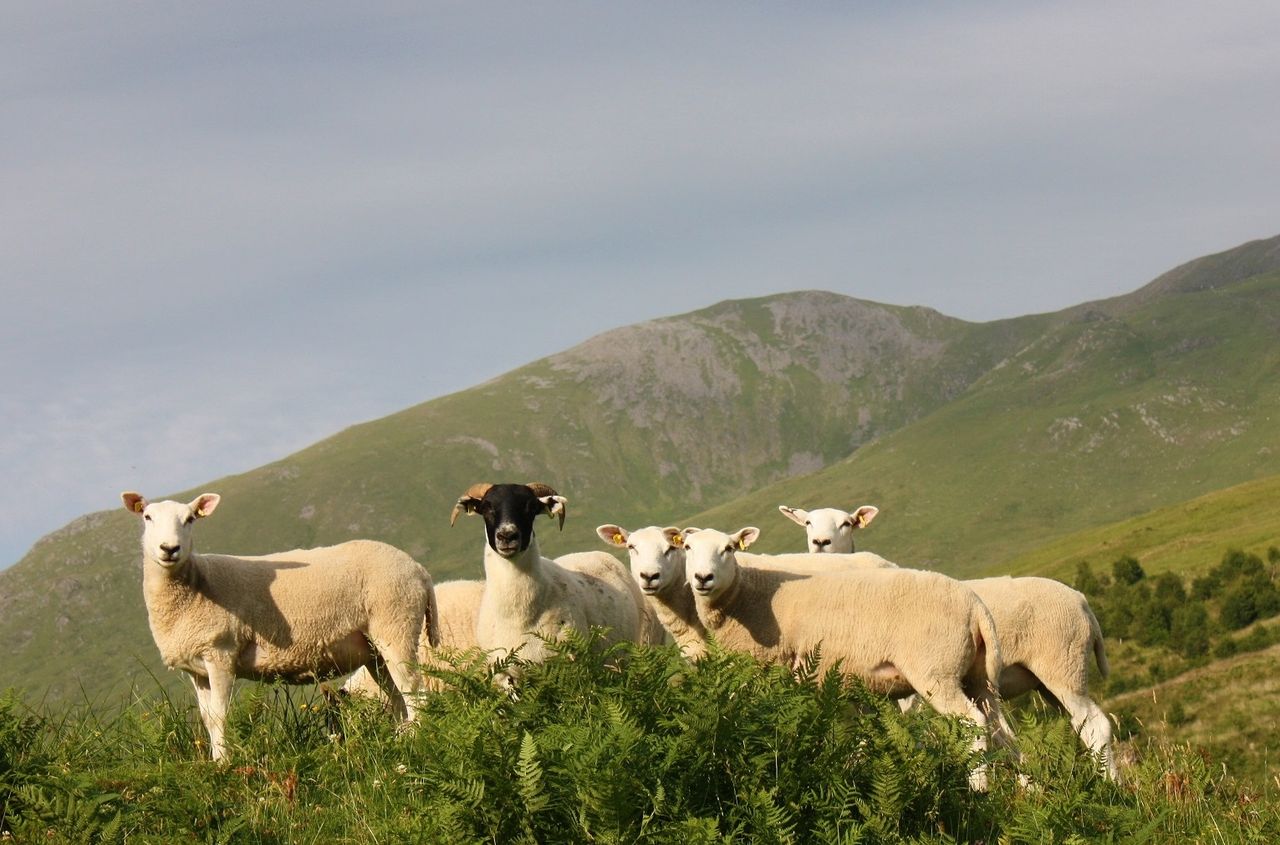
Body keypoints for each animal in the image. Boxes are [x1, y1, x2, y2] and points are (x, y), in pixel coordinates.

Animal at [121, 492, 437, 761]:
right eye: (147, 517)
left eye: (190, 519)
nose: (169, 548)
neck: (197, 583)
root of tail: (418, 569)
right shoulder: (197, 669)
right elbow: (208, 719)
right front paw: (215, 762)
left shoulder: (220, 652)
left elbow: (221, 715)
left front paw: (225, 766)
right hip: (374, 649)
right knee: (396, 696)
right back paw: (400, 739)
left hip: (396, 622)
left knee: (413, 690)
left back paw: (416, 740)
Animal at [682, 525, 1015, 790]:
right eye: (687, 548)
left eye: (728, 549)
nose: (703, 577)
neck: (745, 597)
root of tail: (975, 606)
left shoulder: (766, 671)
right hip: (978, 677)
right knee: (1002, 730)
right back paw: (1023, 786)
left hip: (937, 672)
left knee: (973, 722)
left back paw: (979, 788)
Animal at [780, 504, 1117, 780]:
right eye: (807, 522)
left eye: (847, 523)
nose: (820, 543)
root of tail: (1081, 600)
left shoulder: (909, 690)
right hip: (1047, 681)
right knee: (1079, 724)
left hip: (1062, 666)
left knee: (1096, 725)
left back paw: (1113, 787)